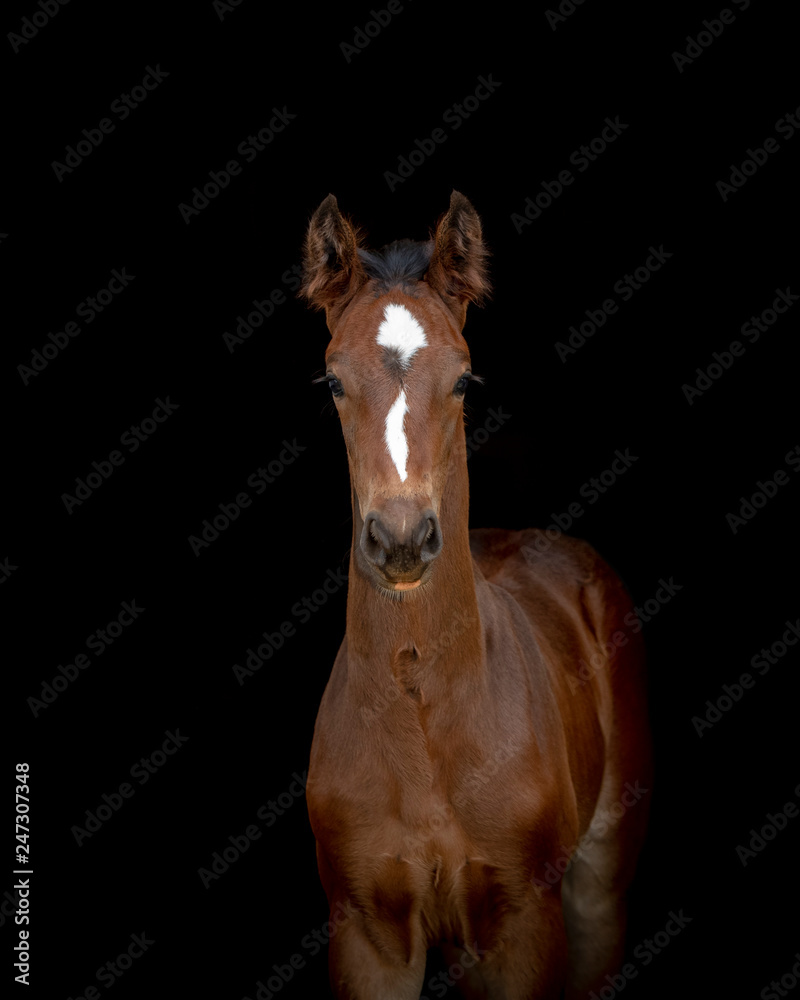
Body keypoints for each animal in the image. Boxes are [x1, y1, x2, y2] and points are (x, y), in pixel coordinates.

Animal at [301, 191, 652, 999]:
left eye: (462, 379)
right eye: (334, 381)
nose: (400, 538)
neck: (424, 728)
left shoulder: (526, 925)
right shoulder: (367, 934)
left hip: (601, 880)